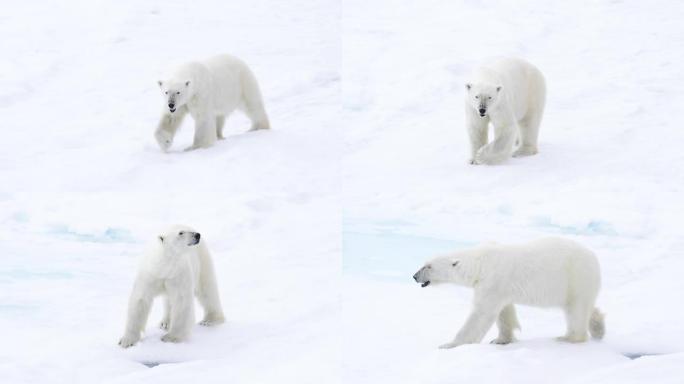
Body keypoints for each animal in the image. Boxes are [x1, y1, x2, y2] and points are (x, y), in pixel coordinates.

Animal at [412, 237, 604, 348]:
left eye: (428, 266)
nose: (414, 276)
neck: (480, 263)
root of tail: (594, 257)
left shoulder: (493, 282)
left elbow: (481, 314)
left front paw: (450, 344)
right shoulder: (500, 288)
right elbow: (505, 313)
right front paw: (500, 340)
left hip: (575, 277)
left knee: (576, 309)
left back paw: (568, 337)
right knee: (586, 306)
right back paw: (599, 328)